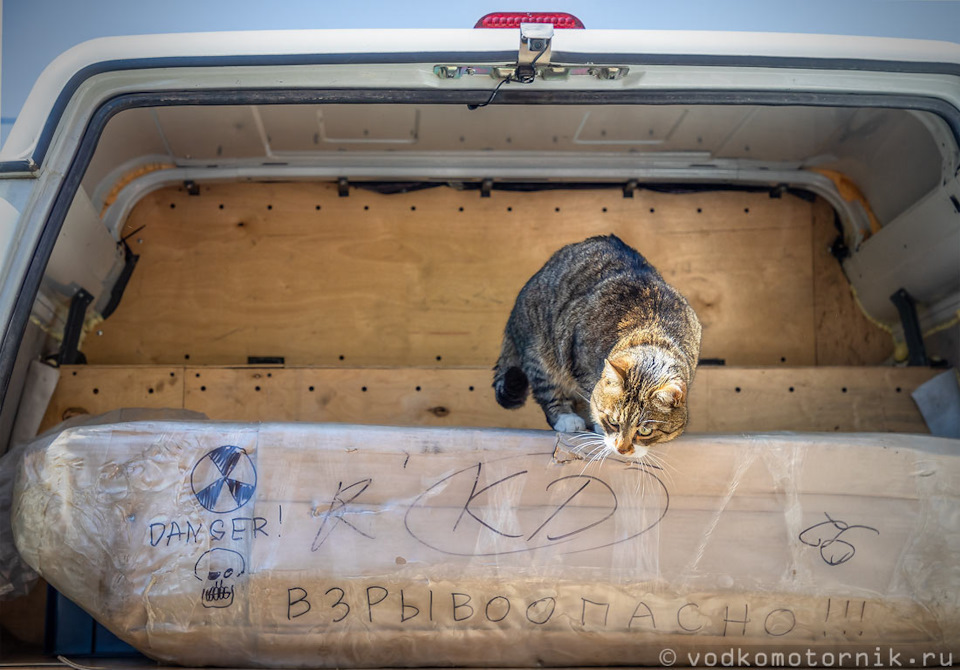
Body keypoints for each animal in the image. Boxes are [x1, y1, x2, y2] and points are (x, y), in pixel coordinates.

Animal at [492, 234, 700, 460]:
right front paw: (598, 425)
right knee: (548, 389)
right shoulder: (580, 358)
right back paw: (566, 418)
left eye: (645, 430)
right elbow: (591, 396)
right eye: (614, 421)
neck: (653, 332)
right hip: (540, 350)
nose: (622, 449)